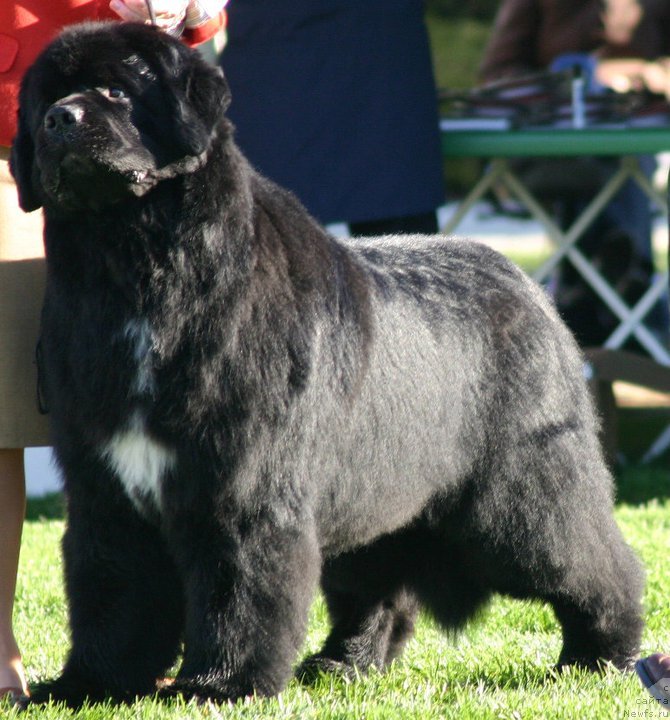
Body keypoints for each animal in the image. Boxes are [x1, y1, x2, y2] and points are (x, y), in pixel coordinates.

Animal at [11, 21, 644, 708]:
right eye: (43, 100)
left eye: (116, 90)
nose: (59, 119)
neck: (133, 269)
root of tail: (527, 285)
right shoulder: (105, 489)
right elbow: (112, 590)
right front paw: (88, 685)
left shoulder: (242, 488)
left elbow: (239, 589)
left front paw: (220, 685)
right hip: (379, 493)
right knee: (378, 587)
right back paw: (344, 664)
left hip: (520, 494)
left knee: (595, 564)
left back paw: (598, 658)